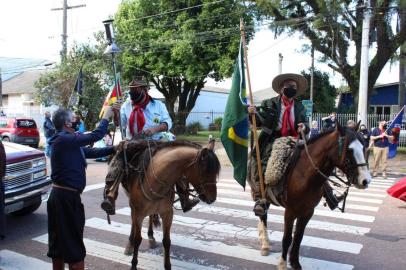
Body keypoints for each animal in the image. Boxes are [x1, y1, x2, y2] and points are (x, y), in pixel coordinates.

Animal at [108, 139, 220, 270]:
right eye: (205, 172)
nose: (212, 198)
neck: (155, 179)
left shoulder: (167, 214)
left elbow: (166, 241)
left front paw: (167, 265)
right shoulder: (139, 213)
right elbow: (137, 239)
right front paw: (133, 264)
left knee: (151, 216)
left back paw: (151, 237)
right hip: (132, 205)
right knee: (133, 221)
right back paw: (130, 244)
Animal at [247, 123, 372, 270]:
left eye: (363, 147)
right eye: (349, 150)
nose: (365, 180)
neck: (305, 175)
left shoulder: (307, 212)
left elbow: (298, 237)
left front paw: (295, 263)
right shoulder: (290, 212)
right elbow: (287, 238)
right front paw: (283, 264)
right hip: (259, 193)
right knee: (263, 216)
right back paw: (265, 244)